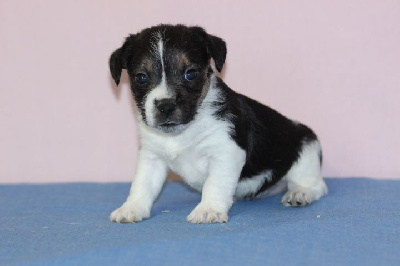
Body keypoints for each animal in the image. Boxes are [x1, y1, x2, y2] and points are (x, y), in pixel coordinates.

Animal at [108, 24, 326, 224]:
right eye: (141, 77)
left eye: (190, 73)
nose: (165, 105)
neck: (182, 131)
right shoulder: (151, 158)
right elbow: (142, 185)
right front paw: (131, 208)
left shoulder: (225, 152)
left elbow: (215, 184)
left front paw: (208, 209)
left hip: (306, 153)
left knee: (316, 185)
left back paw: (300, 193)